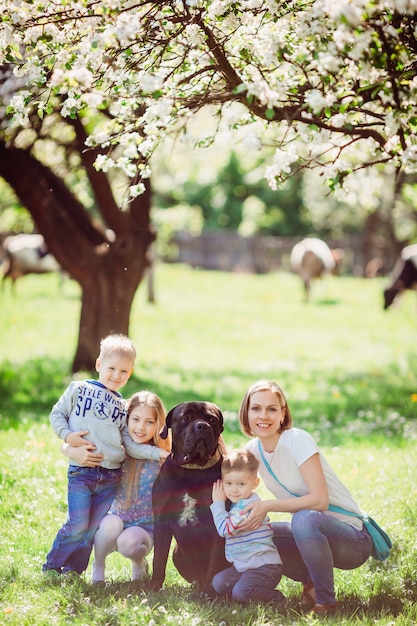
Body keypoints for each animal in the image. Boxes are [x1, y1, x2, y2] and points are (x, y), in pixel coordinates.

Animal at [150, 402, 228, 588]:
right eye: (185, 418)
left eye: (211, 419)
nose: (202, 426)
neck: (193, 469)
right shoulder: (161, 521)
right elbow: (158, 558)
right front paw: (154, 587)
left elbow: (214, 564)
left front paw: (209, 592)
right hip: (177, 553)